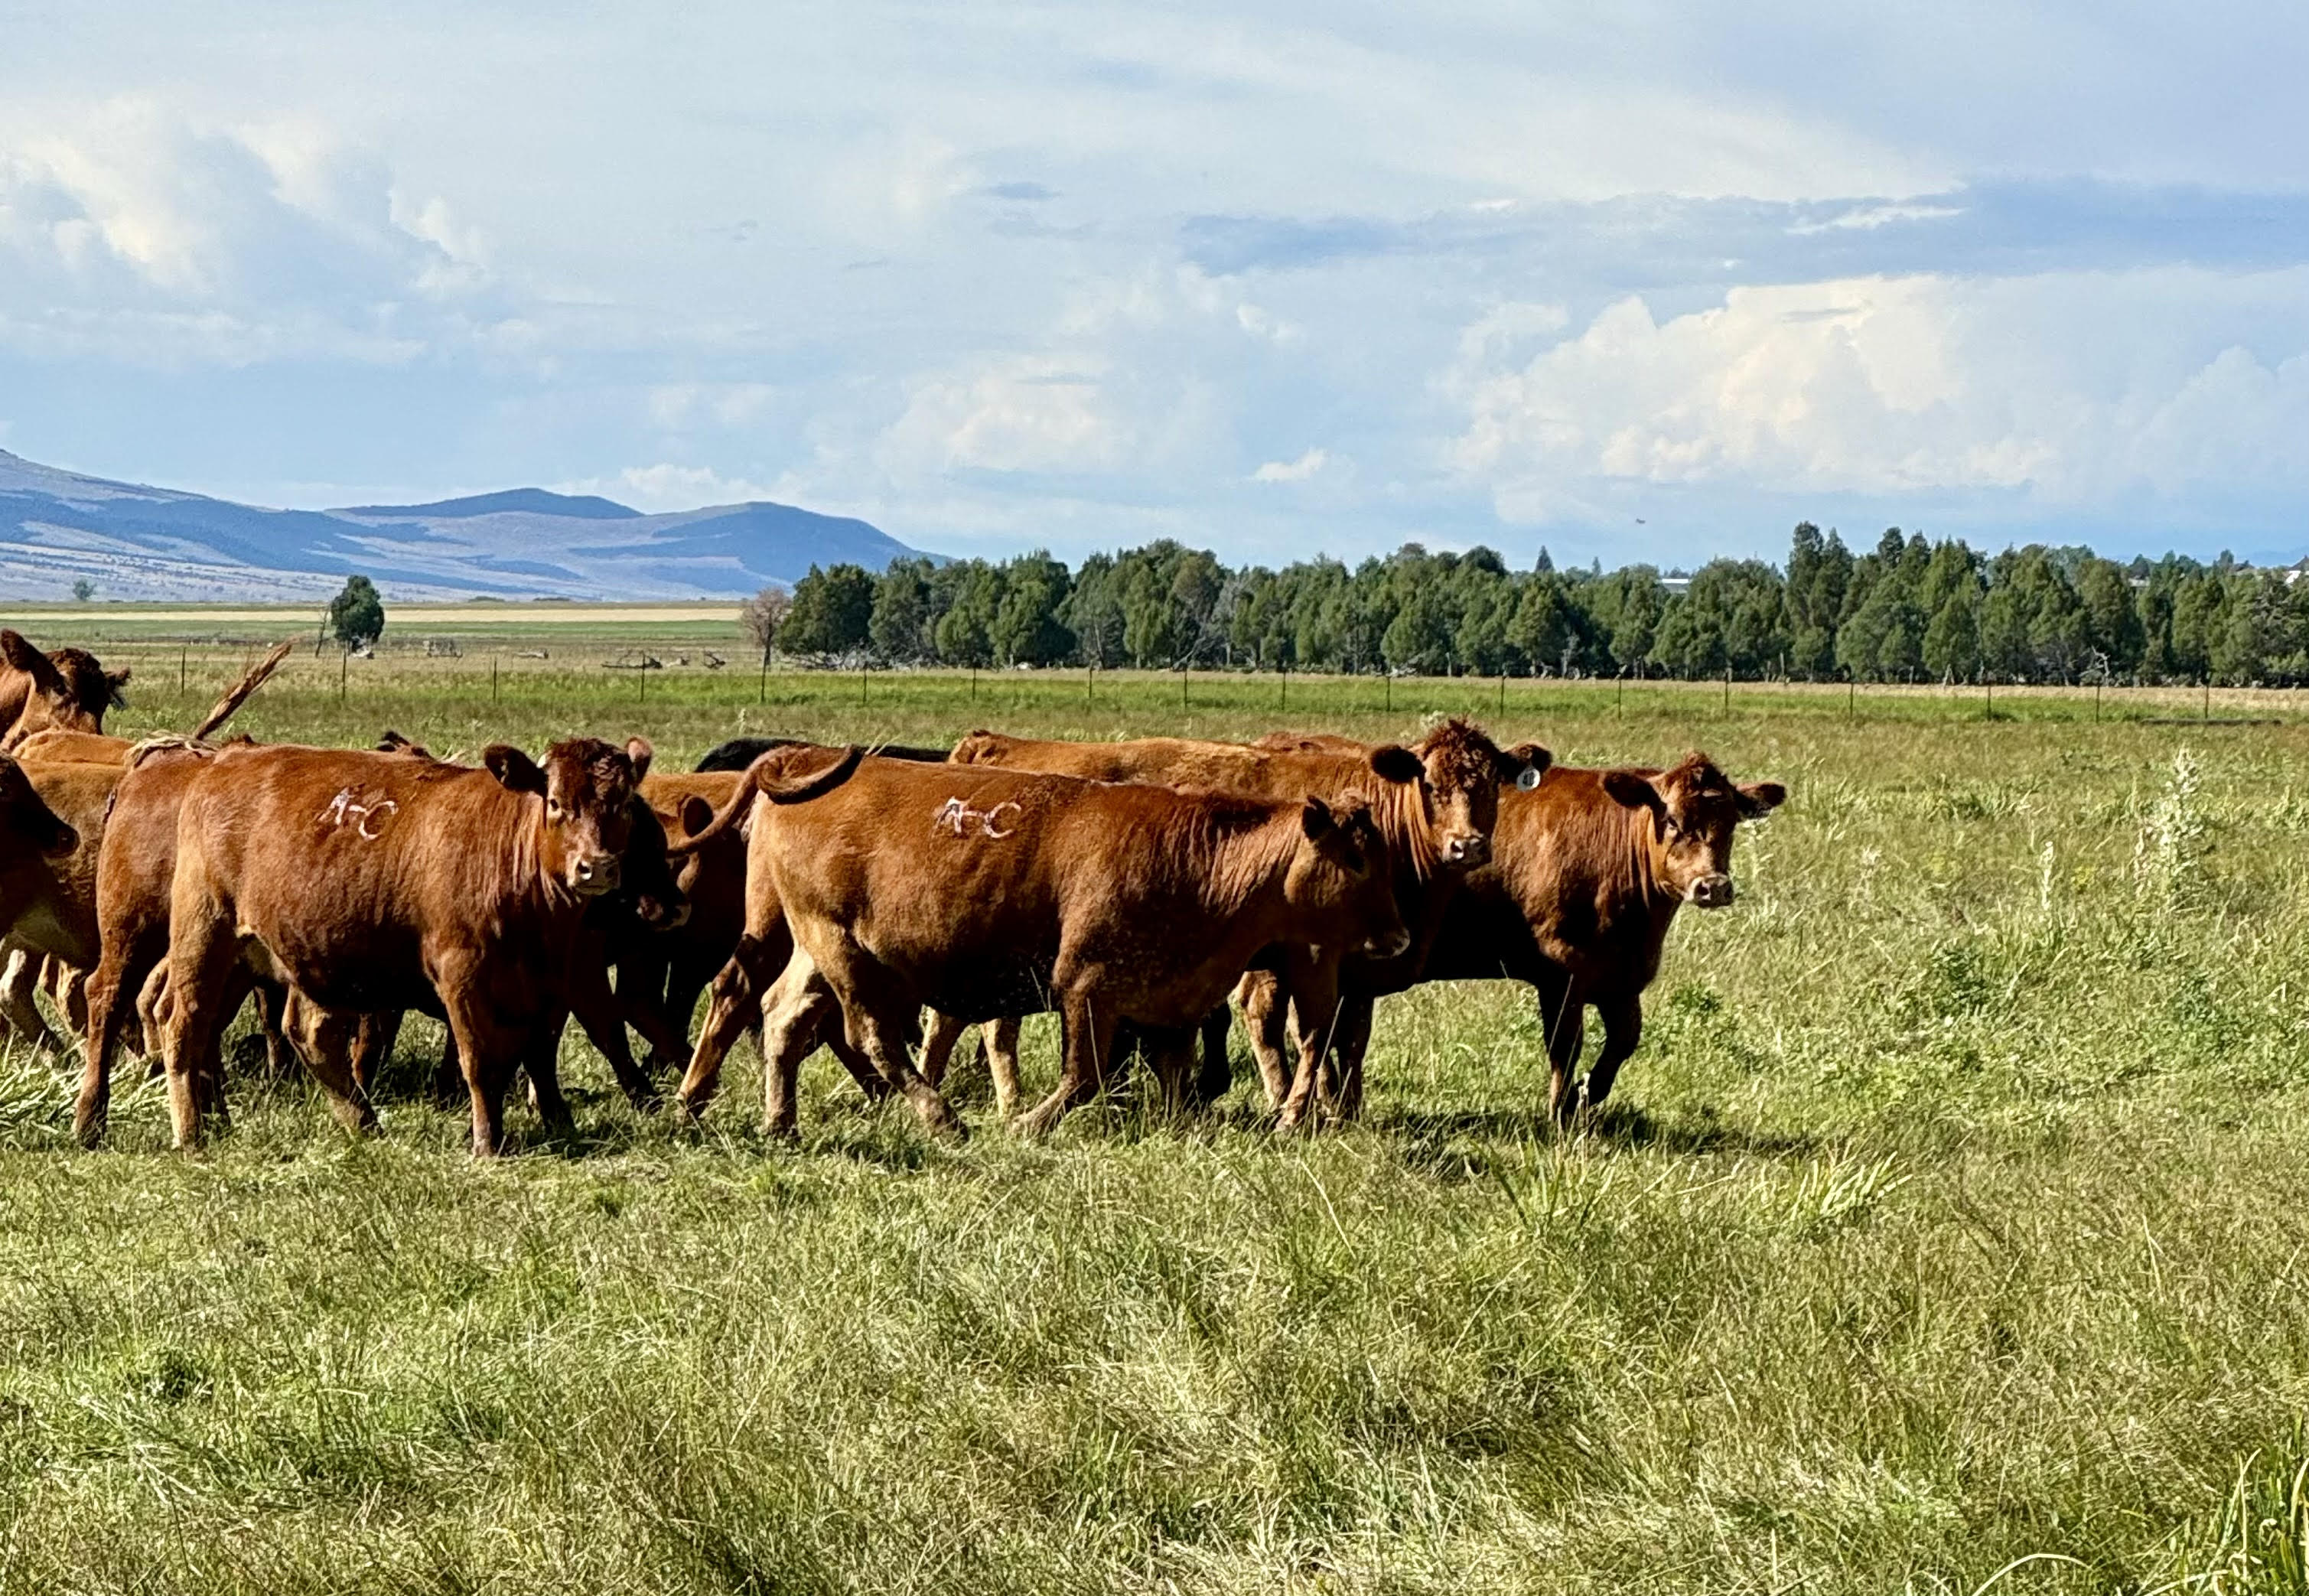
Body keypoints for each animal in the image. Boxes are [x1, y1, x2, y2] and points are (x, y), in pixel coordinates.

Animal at [669, 748, 1403, 1136]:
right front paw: (1024, 1123)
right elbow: (1084, 1075)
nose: (1397, 935)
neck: (1202, 857)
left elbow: (1174, 1073)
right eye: (1356, 859)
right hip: (842, 951)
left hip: (813, 951)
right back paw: (942, 1116)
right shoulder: (1085, 987)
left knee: (782, 1017)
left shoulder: (1170, 1002)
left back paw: (780, 1121)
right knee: (870, 1034)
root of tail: (805, 759)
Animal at [1255, 757, 1773, 1132]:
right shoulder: (1563, 972)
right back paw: (1290, 1099)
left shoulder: (1620, 977)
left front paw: (1587, 1096)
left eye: (1730, 822)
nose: (1712, 886)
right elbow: (1565, 1044)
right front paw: (1561, 1111)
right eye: (1672, 821)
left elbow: (1623, 1041)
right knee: (1272, 1017)